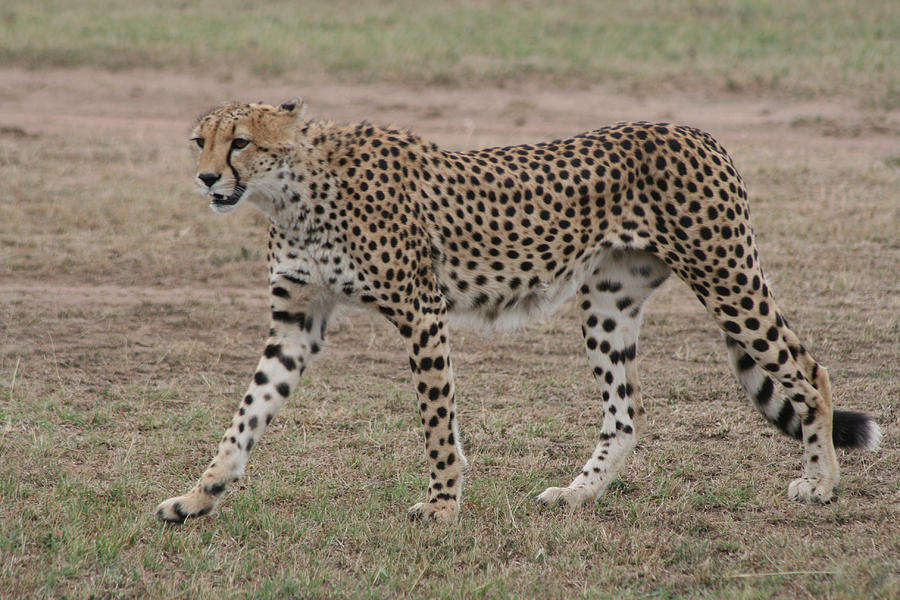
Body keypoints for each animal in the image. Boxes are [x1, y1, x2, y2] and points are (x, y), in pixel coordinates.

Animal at [156, 99, 880, 524]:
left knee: (807, 372)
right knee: (626, 415)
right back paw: (578, 494)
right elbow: (246, 416)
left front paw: (443, 505)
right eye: (199, 140)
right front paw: (199, 495)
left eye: (240, 142)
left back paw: (821, 482)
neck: (294, 191)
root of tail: (691, 128)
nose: (206, 178)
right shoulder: (296, 325)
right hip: (609, 300)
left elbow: (436, 421)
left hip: (727, 279)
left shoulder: (421, 312)